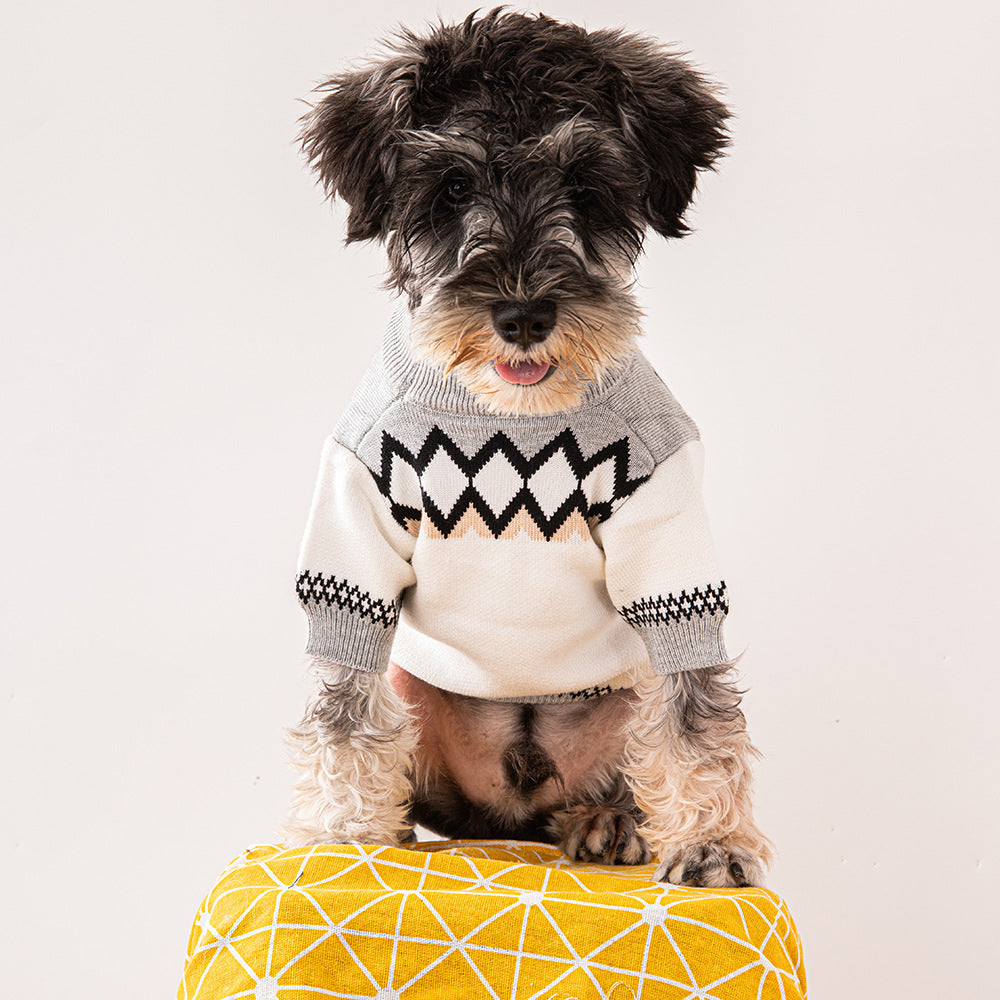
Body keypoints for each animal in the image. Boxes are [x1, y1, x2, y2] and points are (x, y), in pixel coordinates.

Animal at [282, 5, 772, 884]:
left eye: (583, 185)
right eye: (453, 187)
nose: (523, 314)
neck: (509, 412)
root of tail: (508, 815)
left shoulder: (667, 542)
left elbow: (695, 705)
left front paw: (715, 843)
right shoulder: (352, 535)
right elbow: (343, 704)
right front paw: (342, 837)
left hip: (618, 703)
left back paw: (610, 822)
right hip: (415, 689)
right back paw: (402, 830)